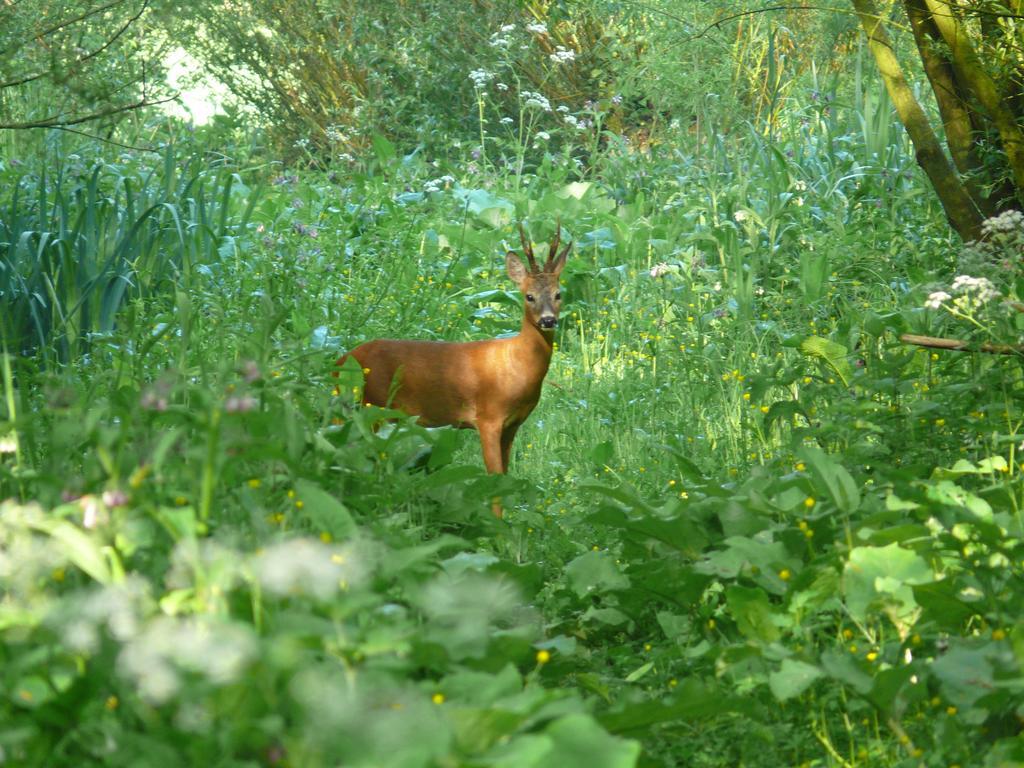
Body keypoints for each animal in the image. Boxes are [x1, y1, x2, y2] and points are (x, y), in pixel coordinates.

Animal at [339, 225, 573, 520]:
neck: (517, 368)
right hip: (373, 405)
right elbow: (493, 478)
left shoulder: (513, 424)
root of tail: (341, 360)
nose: (548, 320)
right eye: (529, 296)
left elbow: (505, 476)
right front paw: (497, 528)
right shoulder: (488, 417)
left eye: (558, 294)